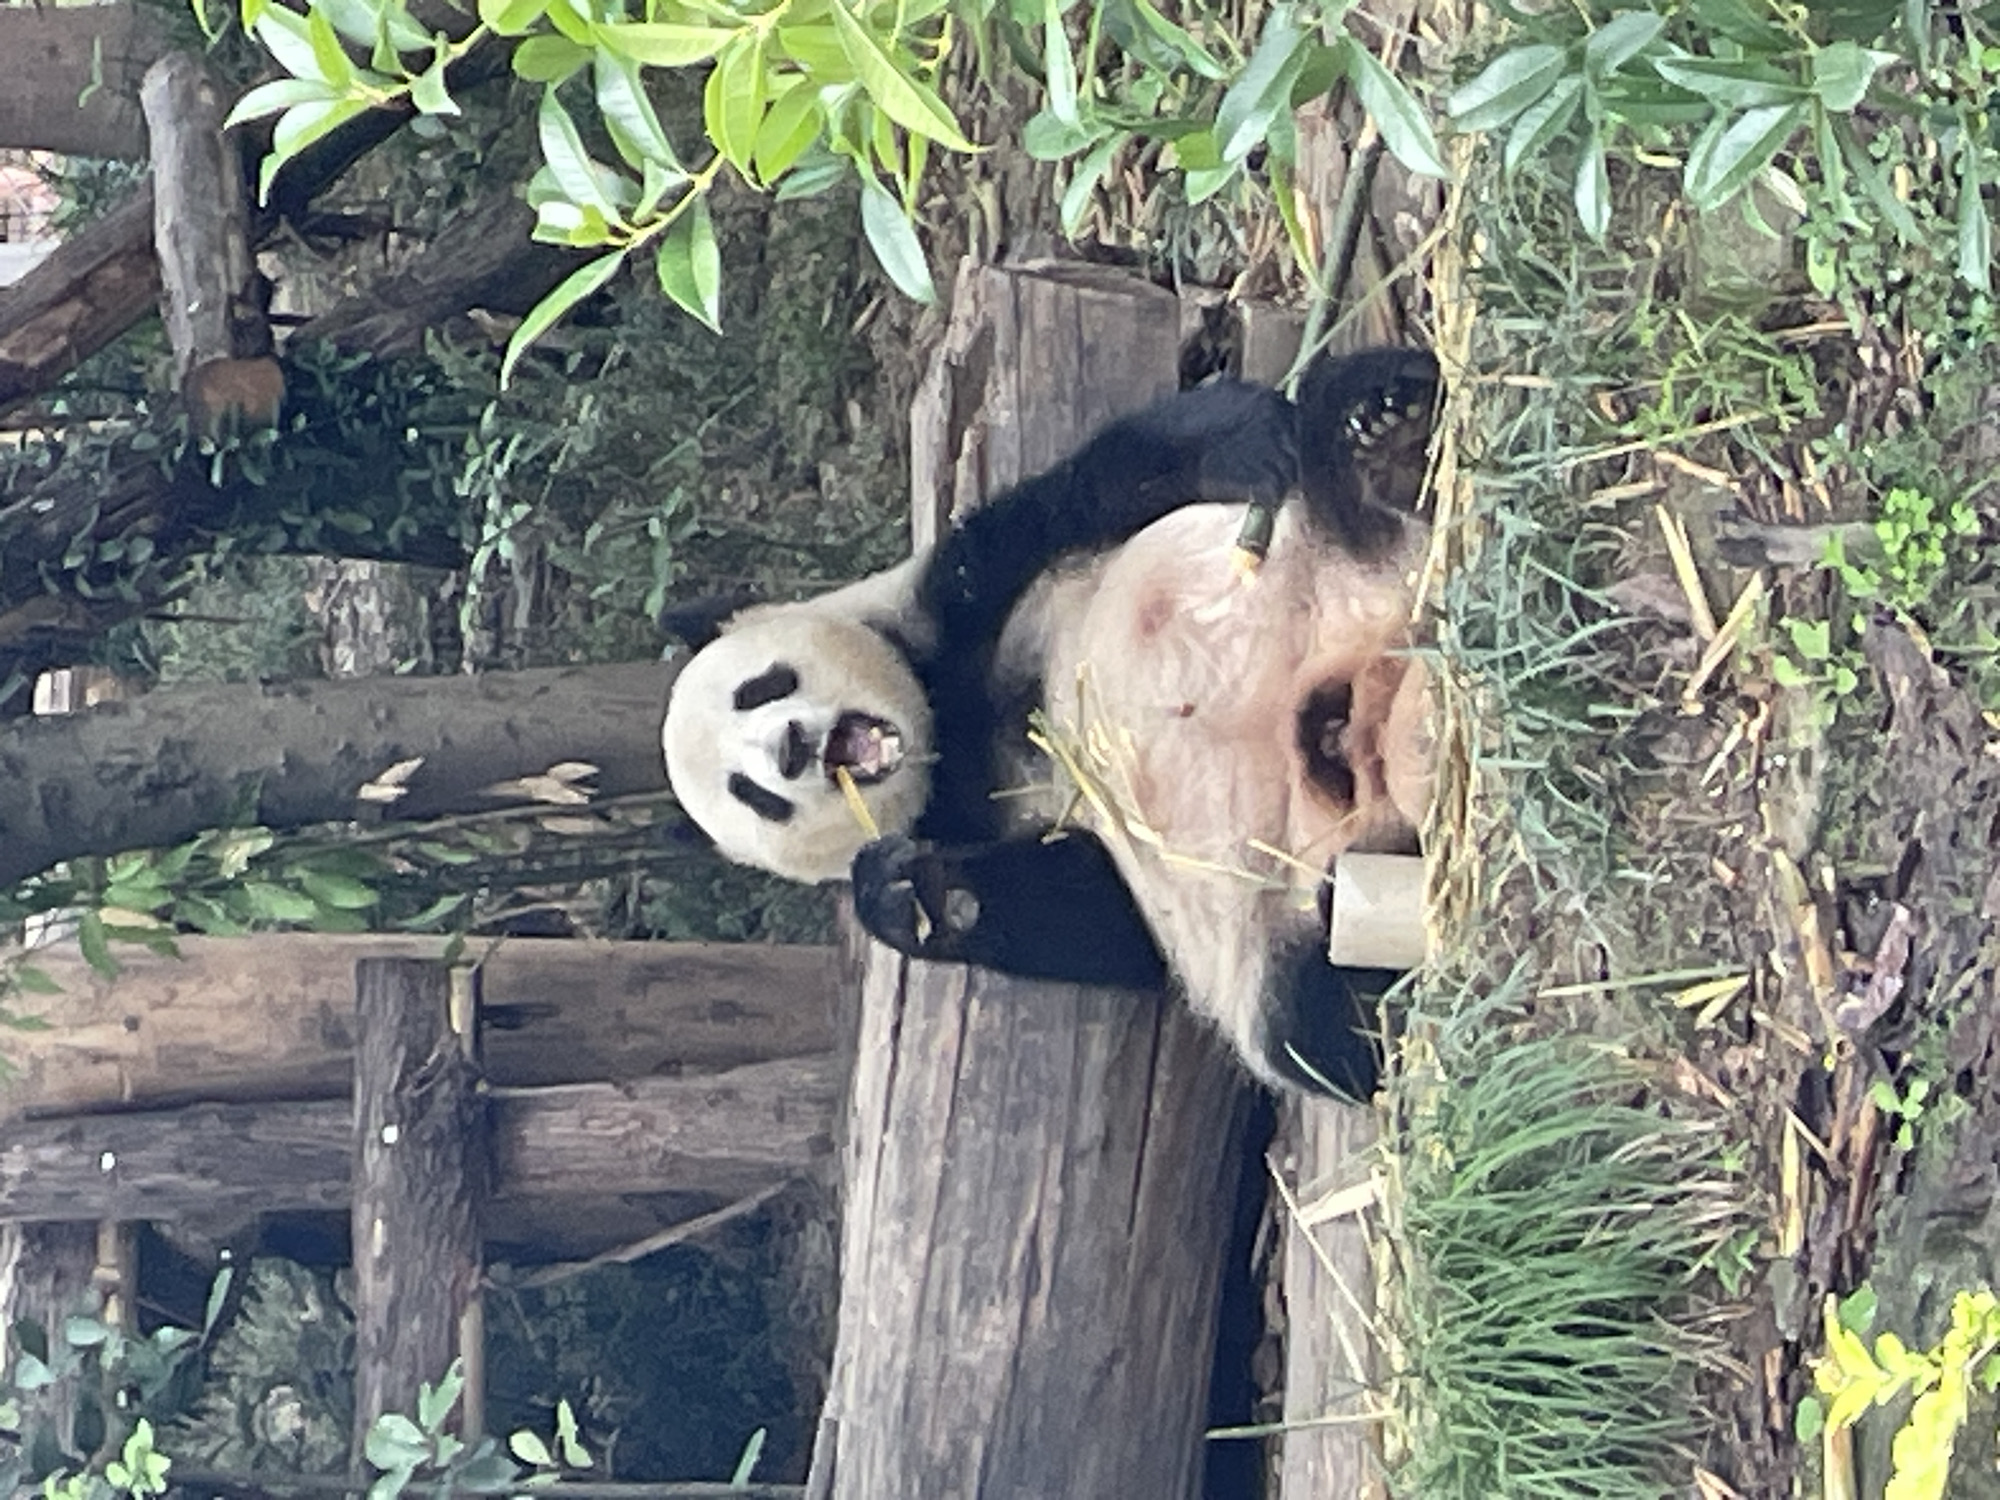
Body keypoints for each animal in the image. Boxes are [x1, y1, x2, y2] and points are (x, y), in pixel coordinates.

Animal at [661, 347, 1439, 1099]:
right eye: (752, 795)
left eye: (764, 686)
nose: (791, 748)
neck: (948, 736)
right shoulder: (975, 818)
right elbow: (1099, 916)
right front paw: (922, 896)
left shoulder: (964, 600)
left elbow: (1071, 500)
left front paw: (1239, 438)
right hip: (1281, 895)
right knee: (1306, 1022)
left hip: (1301, 541)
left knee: (1332, 433)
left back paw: (1381, 436)